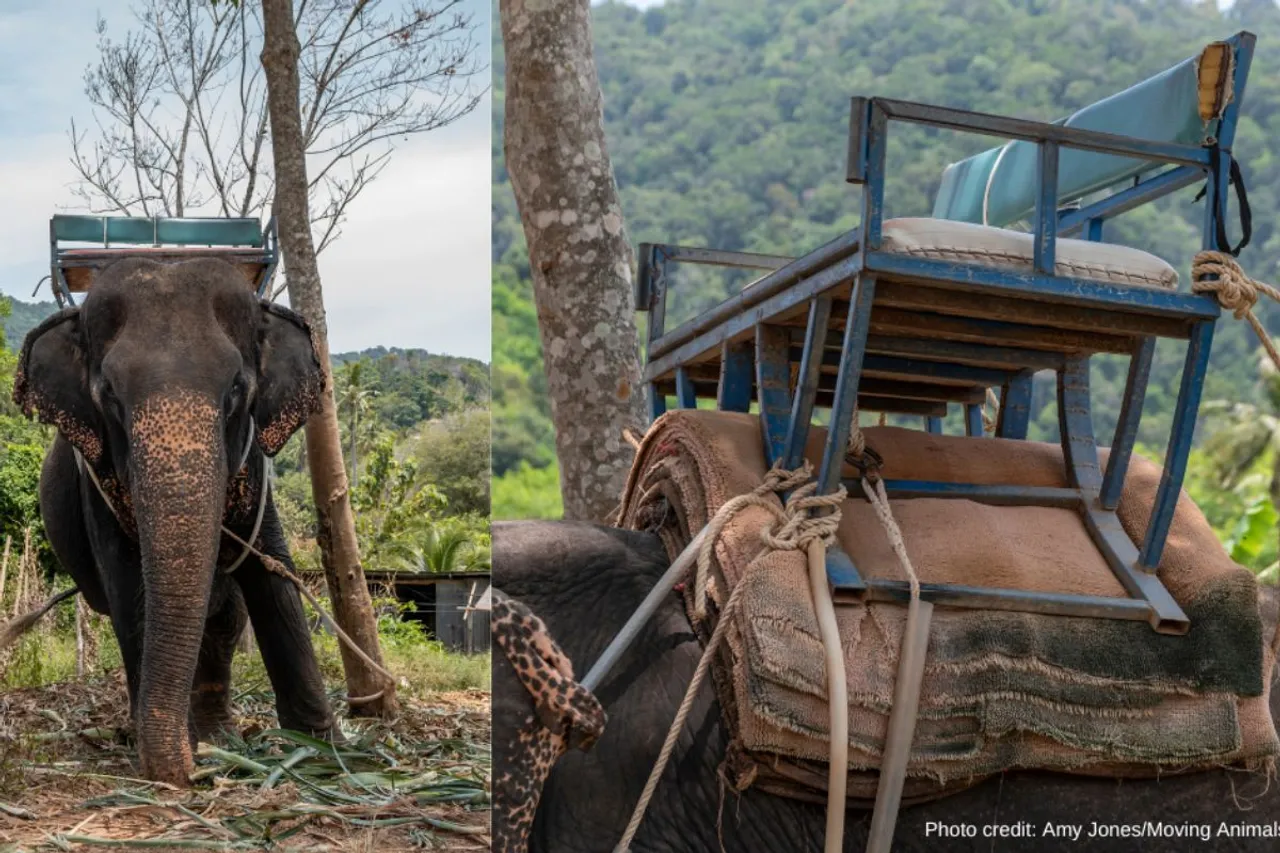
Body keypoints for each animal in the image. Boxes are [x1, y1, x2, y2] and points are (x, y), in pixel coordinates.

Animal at [15, 257, 335, 783]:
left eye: (235, 390)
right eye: (110, 396)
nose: (189, 772)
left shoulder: (255, 471)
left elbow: (272, 577)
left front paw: (326, 753)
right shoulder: (95, 488)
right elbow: (131, 591)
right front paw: (170, 758)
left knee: (224, 620)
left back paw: (219, 739)